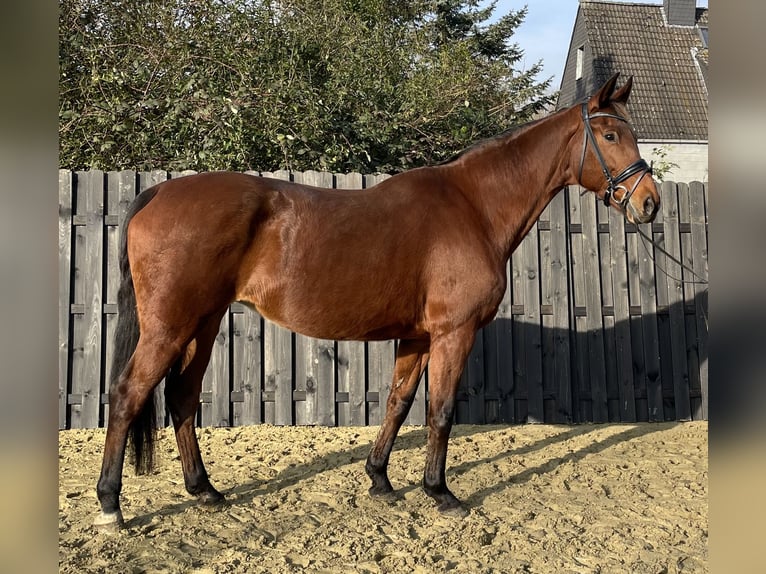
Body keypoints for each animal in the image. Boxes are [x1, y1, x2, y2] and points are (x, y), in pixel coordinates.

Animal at [94, 74, 660, 532]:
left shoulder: (418, 336)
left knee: (182, 397)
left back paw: (205, 490)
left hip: (204, 324)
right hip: (170, 327)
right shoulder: (454, 333)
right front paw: (440, 492)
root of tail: (157, 194)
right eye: (611, 135)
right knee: (127, 394)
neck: (473, 207)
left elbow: (399, 402)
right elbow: (440, 410)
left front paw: (380, 479)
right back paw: (110, 505)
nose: (649, 202)